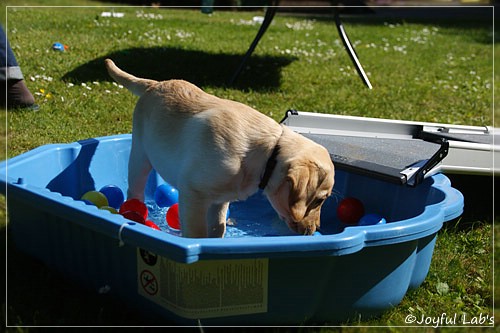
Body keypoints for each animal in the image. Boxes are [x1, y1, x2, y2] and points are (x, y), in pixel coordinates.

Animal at [104, 59, 334, 236]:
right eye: (319, 200)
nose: (315, 229)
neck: (268, 153)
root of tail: (155, 83)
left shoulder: (220, 200)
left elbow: (218, 228)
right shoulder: (193, 193)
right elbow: (197, 233)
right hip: (140, 155)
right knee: (135, 189)